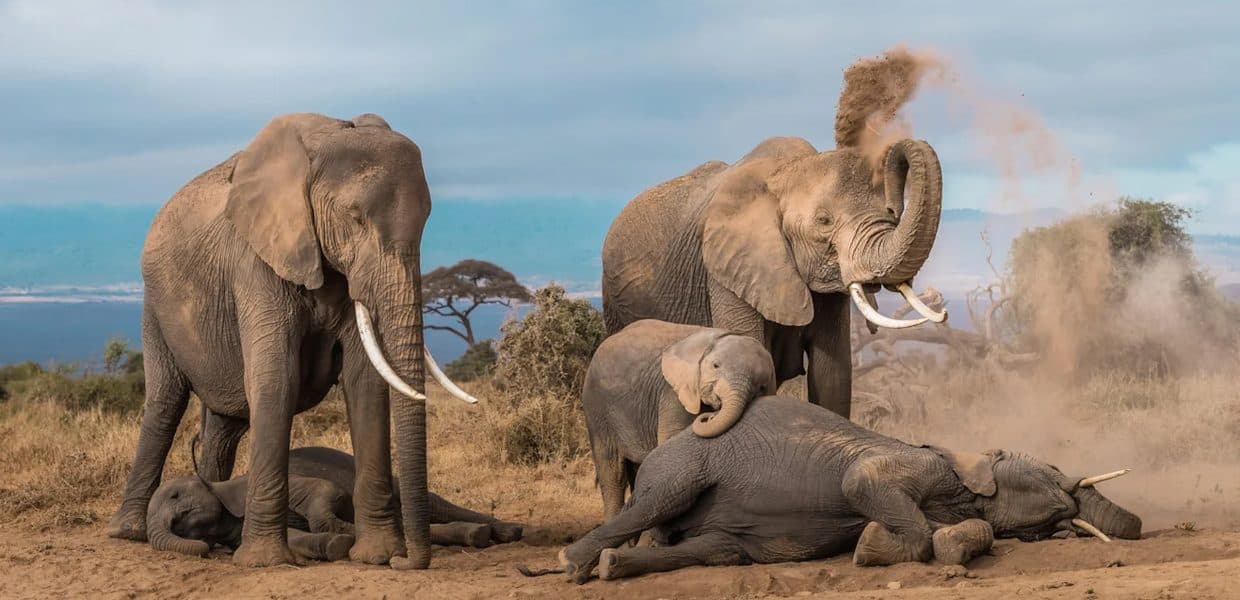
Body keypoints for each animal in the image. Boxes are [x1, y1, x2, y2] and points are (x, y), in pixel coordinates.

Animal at [107, 112, 479, 570]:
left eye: (427, 219)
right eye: (354, 217)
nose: (406, 562)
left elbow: (365, 382)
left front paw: (377, 556)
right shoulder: (256, 260)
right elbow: (276, 379)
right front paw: (265, 561)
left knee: (223, 426)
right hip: (155, 306)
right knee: (164, 402)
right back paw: (129, 532)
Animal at [147, 446, 523, 559]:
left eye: (175, 496)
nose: (209, 550)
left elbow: (324, 491)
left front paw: (345, 532)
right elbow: (295, 538)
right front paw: (336, 543)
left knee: (434, 506)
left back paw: (508, 532)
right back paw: (477, 535)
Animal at [557, 396, 1140, 583]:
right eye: (1052, 468)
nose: (1136, 527)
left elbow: (965, 529)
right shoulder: (913, 463)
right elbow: (861, 483)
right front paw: (870, 548)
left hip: (721, 538)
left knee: (718, 549)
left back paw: (613, 566)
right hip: (684, 464)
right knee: (656, 501)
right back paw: (574, 564)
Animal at [582, 319, 776, 519]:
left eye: (761, 386)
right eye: (715, 366)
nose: (711, 414)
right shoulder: (672, 393)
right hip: (597, 406)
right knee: (612, 471)